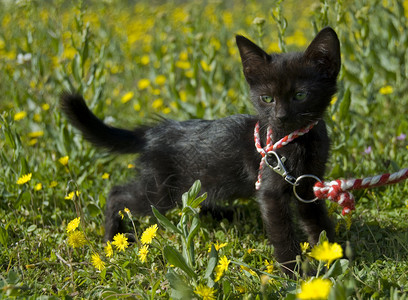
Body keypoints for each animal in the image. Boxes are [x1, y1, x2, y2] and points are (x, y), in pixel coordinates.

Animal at [59, 27, 342, 274]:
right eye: (267, 99)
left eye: (301, 95)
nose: (281, 117)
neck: (297, 142)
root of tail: (152, 133)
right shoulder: (271, 191)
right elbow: (282, 234)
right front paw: (294, 274)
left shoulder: (307, 185)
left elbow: (316, 222)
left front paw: (334, 257)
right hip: (160, 192)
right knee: (117, 194)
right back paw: (113, 237)